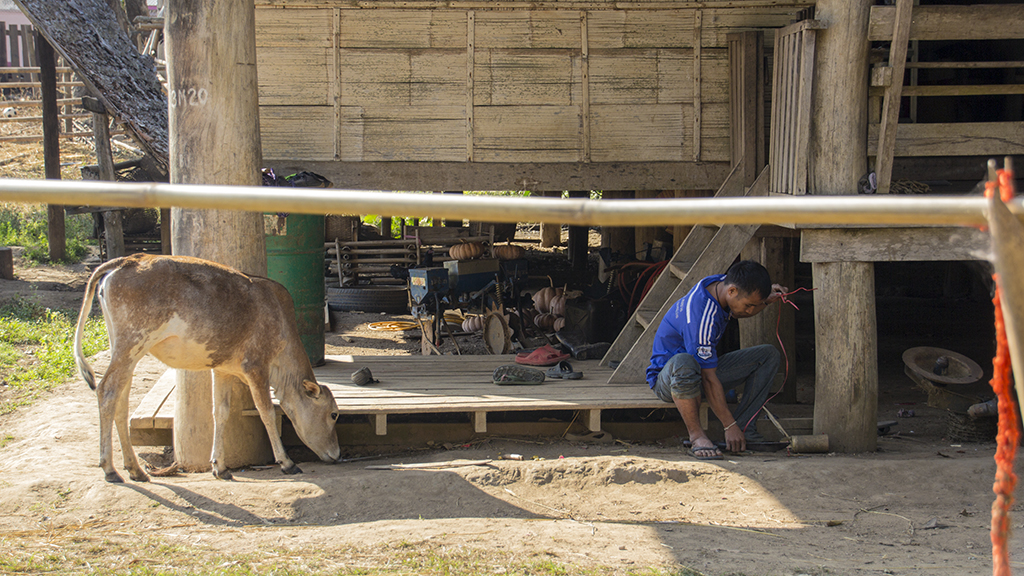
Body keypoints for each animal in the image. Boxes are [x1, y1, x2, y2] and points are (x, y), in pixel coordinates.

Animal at [76, 253, 339, 481]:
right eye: (334, 414)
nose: (337, 454)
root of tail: (127, 260)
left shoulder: (222, 369)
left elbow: (220, 412)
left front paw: (220, 467)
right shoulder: (256, 367)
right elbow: (266, 412)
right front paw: (286, 462)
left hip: (124, 350)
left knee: (121, 399)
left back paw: (135, 469)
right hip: (132, 342)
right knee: (106, 391)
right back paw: (110, 469)